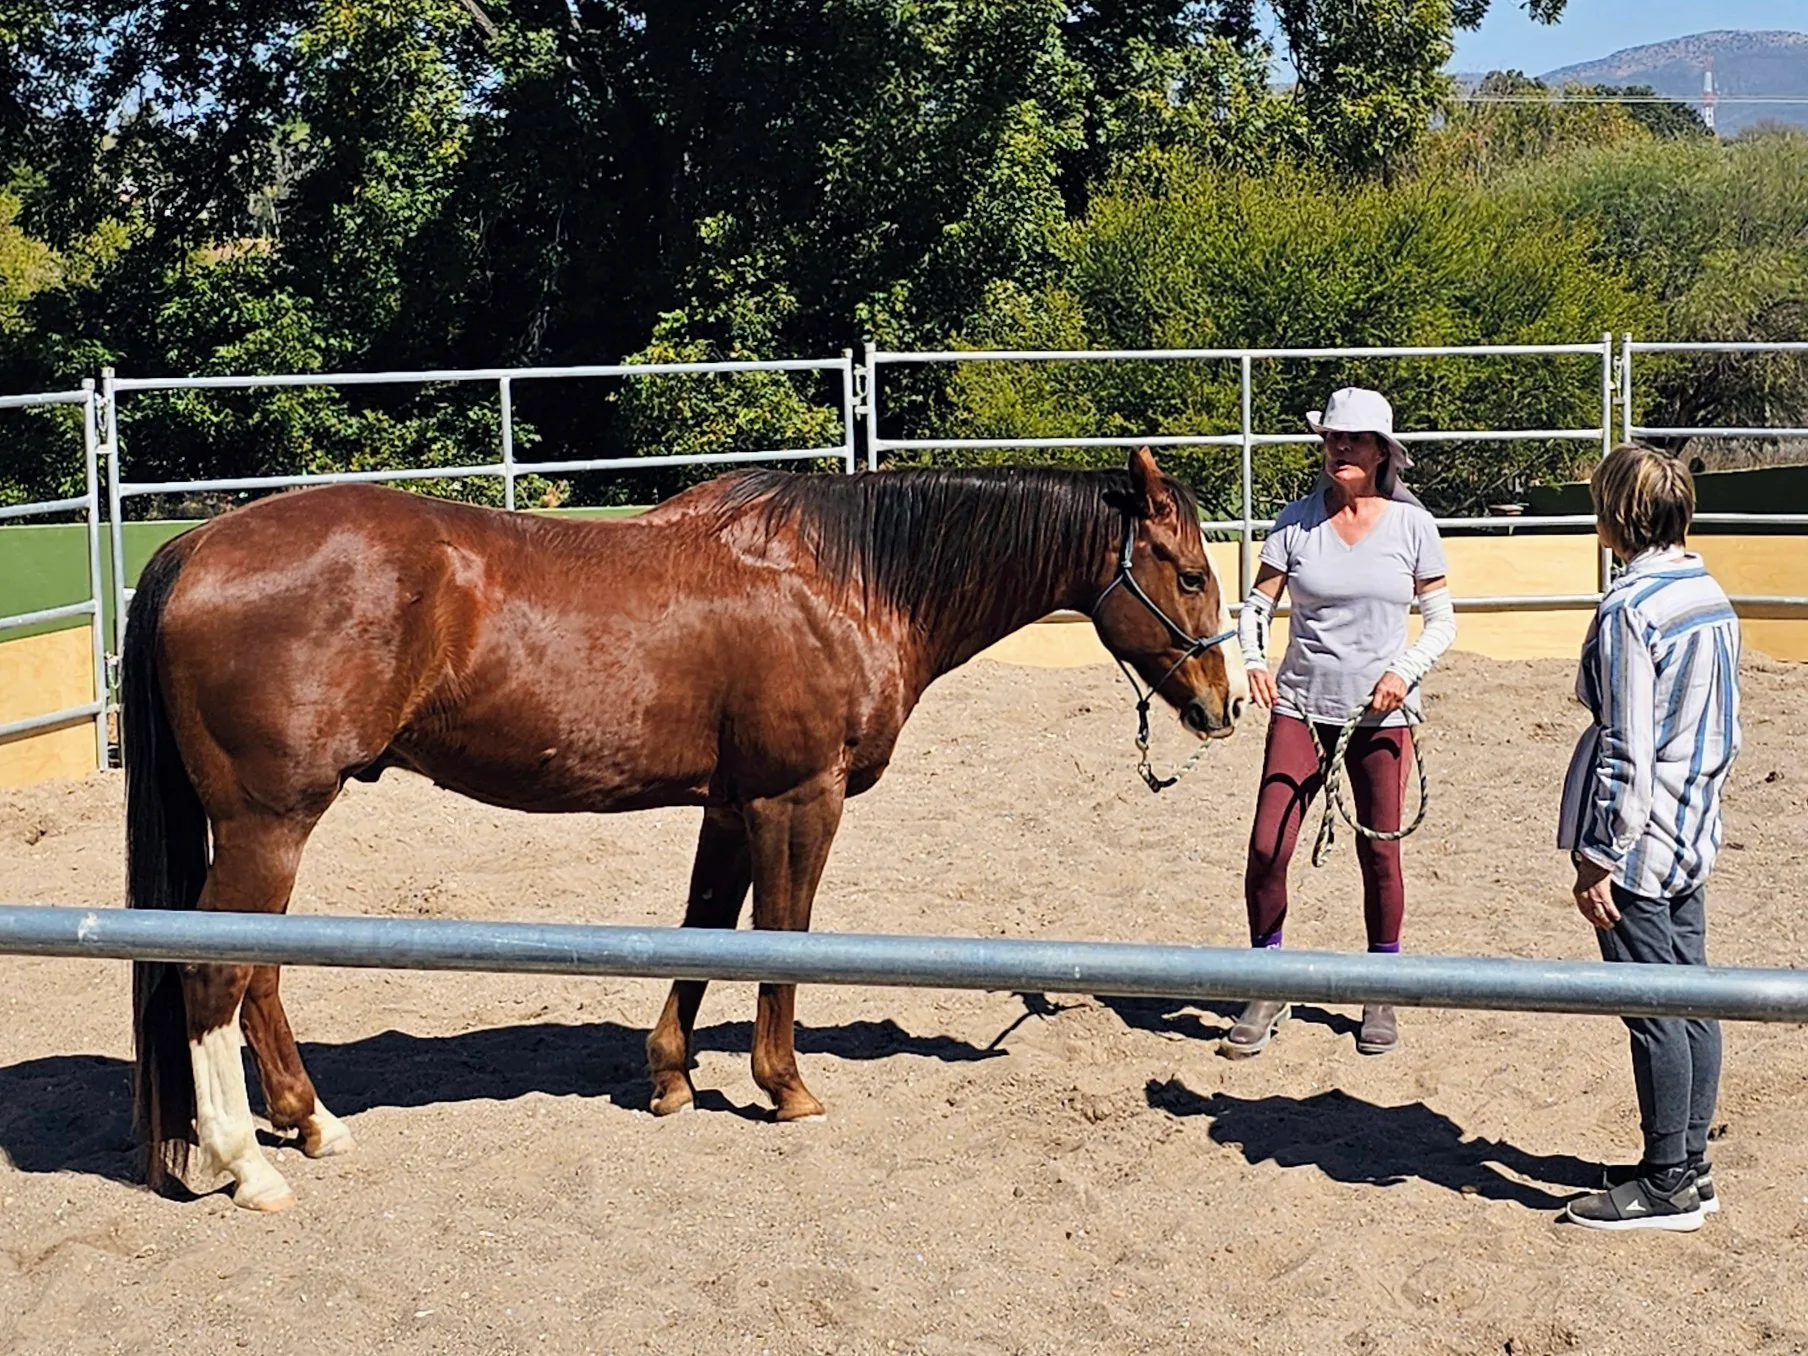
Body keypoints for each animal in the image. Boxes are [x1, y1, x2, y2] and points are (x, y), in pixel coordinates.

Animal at [121, 445, 1242, 1211]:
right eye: (1188, 573)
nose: (1222, 705)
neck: (844, 581)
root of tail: (194, 544)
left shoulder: (730, 804)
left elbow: (705, 930)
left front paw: (670, 1076)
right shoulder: (798, 798)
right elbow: (782, 939)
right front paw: (785, 1088)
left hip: (272, 829)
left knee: (257, 974)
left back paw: (312, 1125)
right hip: (269, 823)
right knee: (214, 975)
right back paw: (248, 1165)